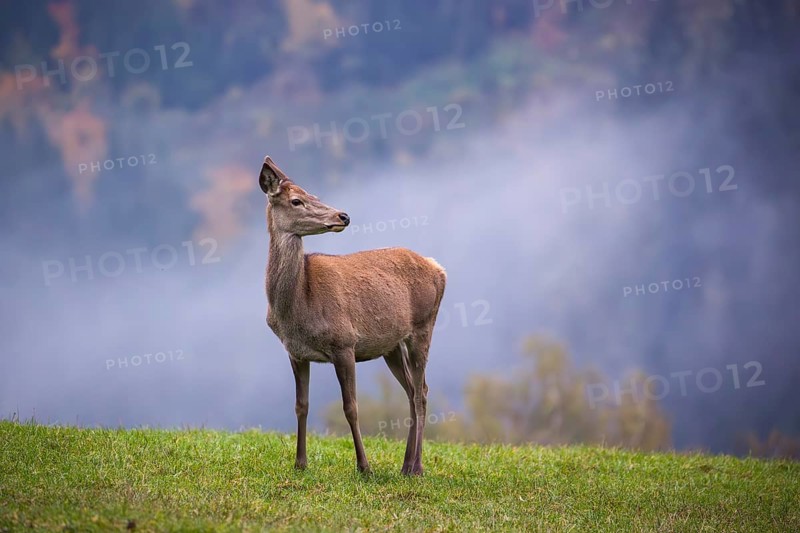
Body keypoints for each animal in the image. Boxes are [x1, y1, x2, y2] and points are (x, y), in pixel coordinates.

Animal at [259, 156, 446, 475]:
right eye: (297, 200)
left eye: (313, 194)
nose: (343, 215)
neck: (296, 310)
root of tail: (439, 268)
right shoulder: (295, 352)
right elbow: (301, 405)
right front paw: (300, 463)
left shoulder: (344, 343)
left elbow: (351, 407)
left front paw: (364, 466)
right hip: (391, 345)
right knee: (411, 390)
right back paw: (405, 464)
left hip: (424, 325)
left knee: (421, 391)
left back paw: (417, 467)